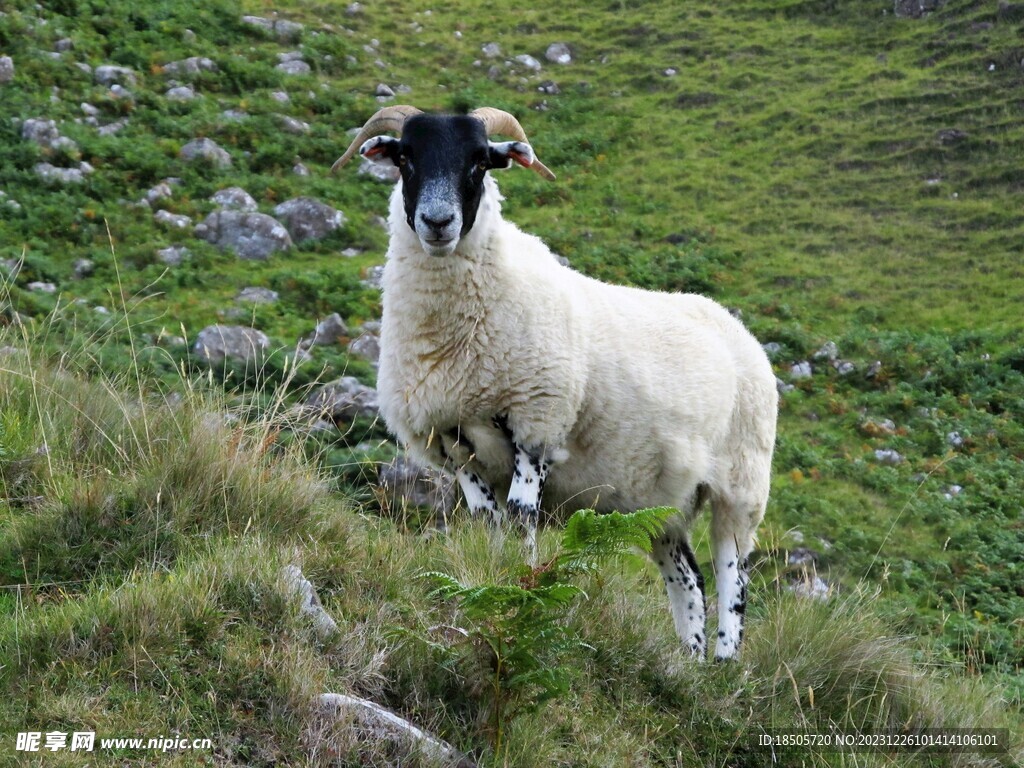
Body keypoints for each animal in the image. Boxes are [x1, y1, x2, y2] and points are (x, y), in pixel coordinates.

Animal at [333, 107, 774, 663]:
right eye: (405, 158)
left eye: (480, 162)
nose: (438, 223)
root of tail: (737, 328)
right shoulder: (456, 443)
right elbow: (488, 521)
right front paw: (494, 580)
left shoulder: (536, 422)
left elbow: (521, 516)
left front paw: (518, 591)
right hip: (663, 501)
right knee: (687, 580)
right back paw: (688, 665)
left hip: (742, 484)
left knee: (731, 576)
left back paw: (723, 665)